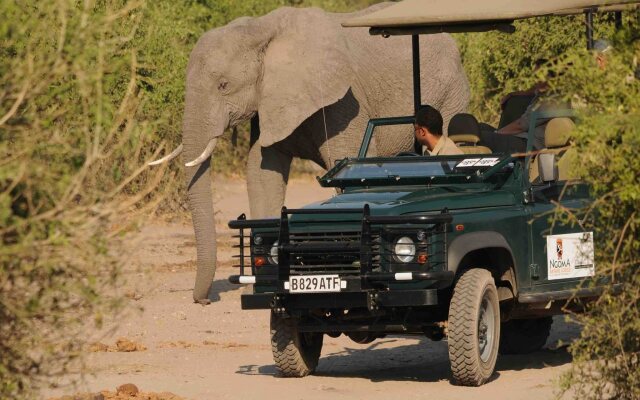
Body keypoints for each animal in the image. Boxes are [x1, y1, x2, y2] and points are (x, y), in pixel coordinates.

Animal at [150, 3, 470, 304]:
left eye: (224, 85)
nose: (203, 300)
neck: (262, 29)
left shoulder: (344, 102)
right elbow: (261, 173)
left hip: (452, 93)